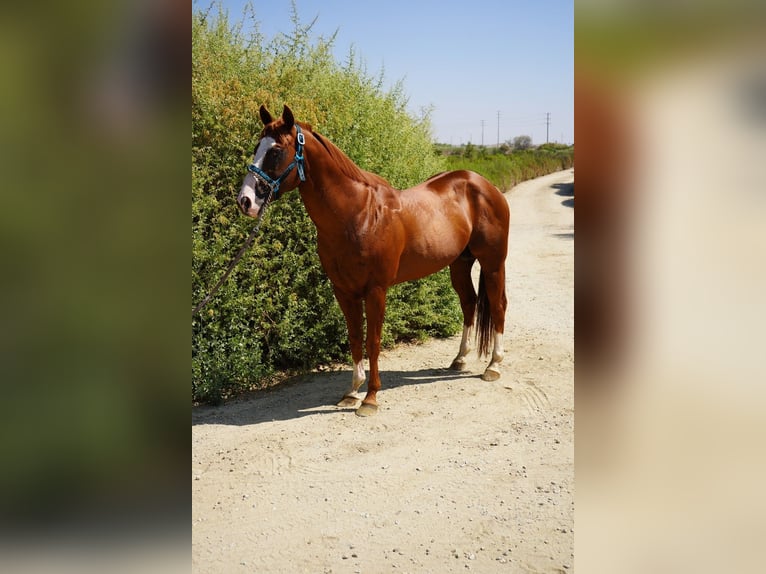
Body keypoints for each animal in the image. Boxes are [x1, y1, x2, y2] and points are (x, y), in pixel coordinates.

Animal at [238, 105, 510, 416]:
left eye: (275, 152)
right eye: (257, 147)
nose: (245, 201)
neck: (357, 215)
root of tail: (483, 184)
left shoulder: (376, 290)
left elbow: (373, 340)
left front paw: (370, 398)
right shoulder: (344, 291)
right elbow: (355, 338)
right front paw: (352, 393)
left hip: (493, 263)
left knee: (498, 304)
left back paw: (494, 366)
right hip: (460, 263)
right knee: (469, 303)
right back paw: (460, 359)